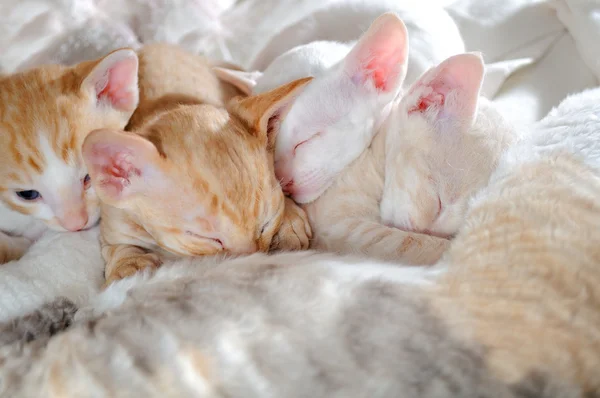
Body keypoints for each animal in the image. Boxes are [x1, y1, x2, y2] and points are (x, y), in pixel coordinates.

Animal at [81, 43, 312, 284]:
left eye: (266, 225)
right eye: (206, 238)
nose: (250, 262)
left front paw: (289, 221)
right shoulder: (114, 217)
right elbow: (116, 245)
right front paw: (130, 266)